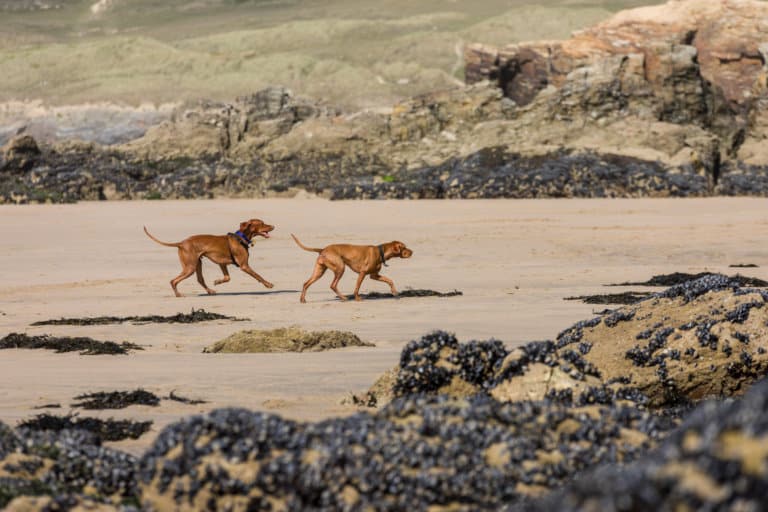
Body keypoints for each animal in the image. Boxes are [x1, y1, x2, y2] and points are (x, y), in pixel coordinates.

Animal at [144, 219, 276, 298]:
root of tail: (181, 243)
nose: (273, 226)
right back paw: (178, 294)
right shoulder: (244, 266)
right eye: (262, 223)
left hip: (197, 264)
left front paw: (218, 281)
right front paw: (268, 284)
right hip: (190, 267)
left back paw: (210, 291)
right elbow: (258, 275)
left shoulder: (222, 263)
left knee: (200, 279)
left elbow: (227, 278)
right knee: (173, 281)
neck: (241, 238)